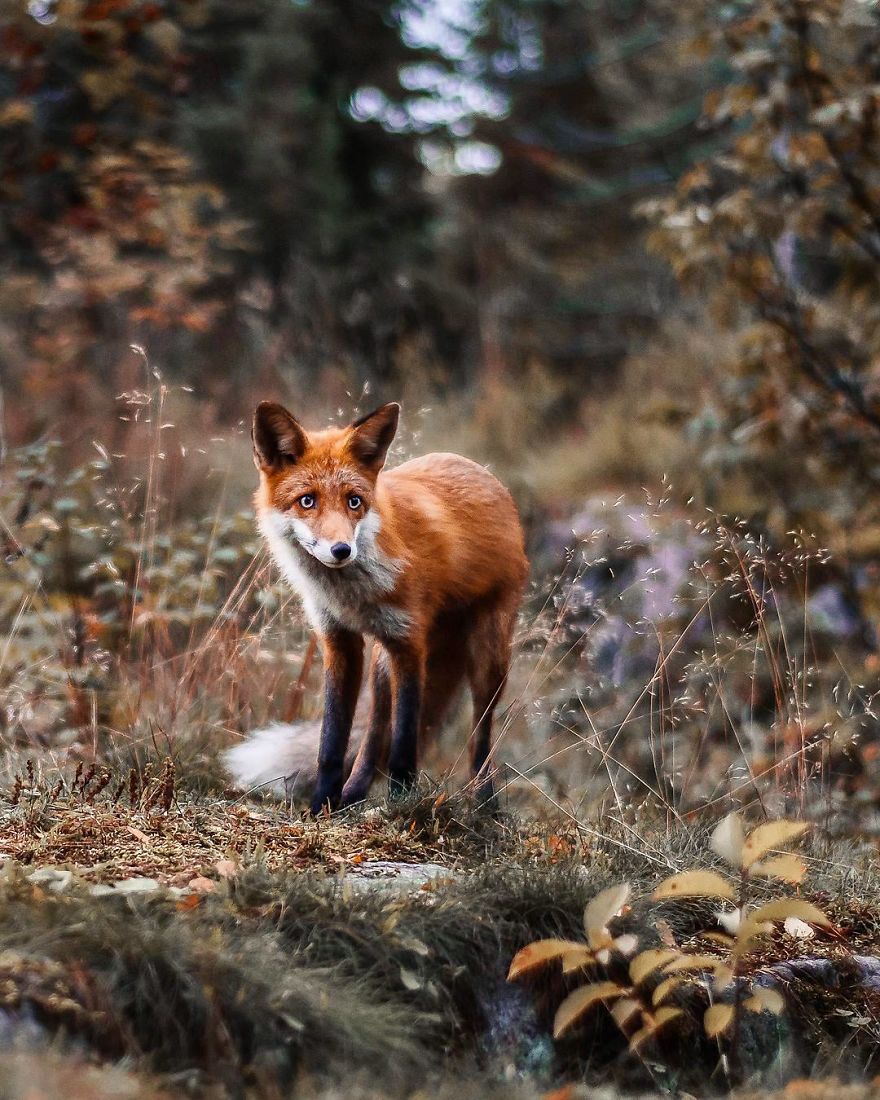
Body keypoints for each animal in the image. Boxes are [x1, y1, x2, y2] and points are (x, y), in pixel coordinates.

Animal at [226, 400, 530, 814]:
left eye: (354, 501)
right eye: (307, 501)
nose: (341, 550)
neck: (353, 596)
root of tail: (480, 471)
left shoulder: (409, 642)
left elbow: (404, 741)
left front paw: (402, 803)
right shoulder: (339, 640)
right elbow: (332, 741)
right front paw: (322, 805)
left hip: (489, 659)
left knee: (479, 734)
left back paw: (485, 802)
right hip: (382, 666)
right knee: (372, 731)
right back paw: (353, 793)